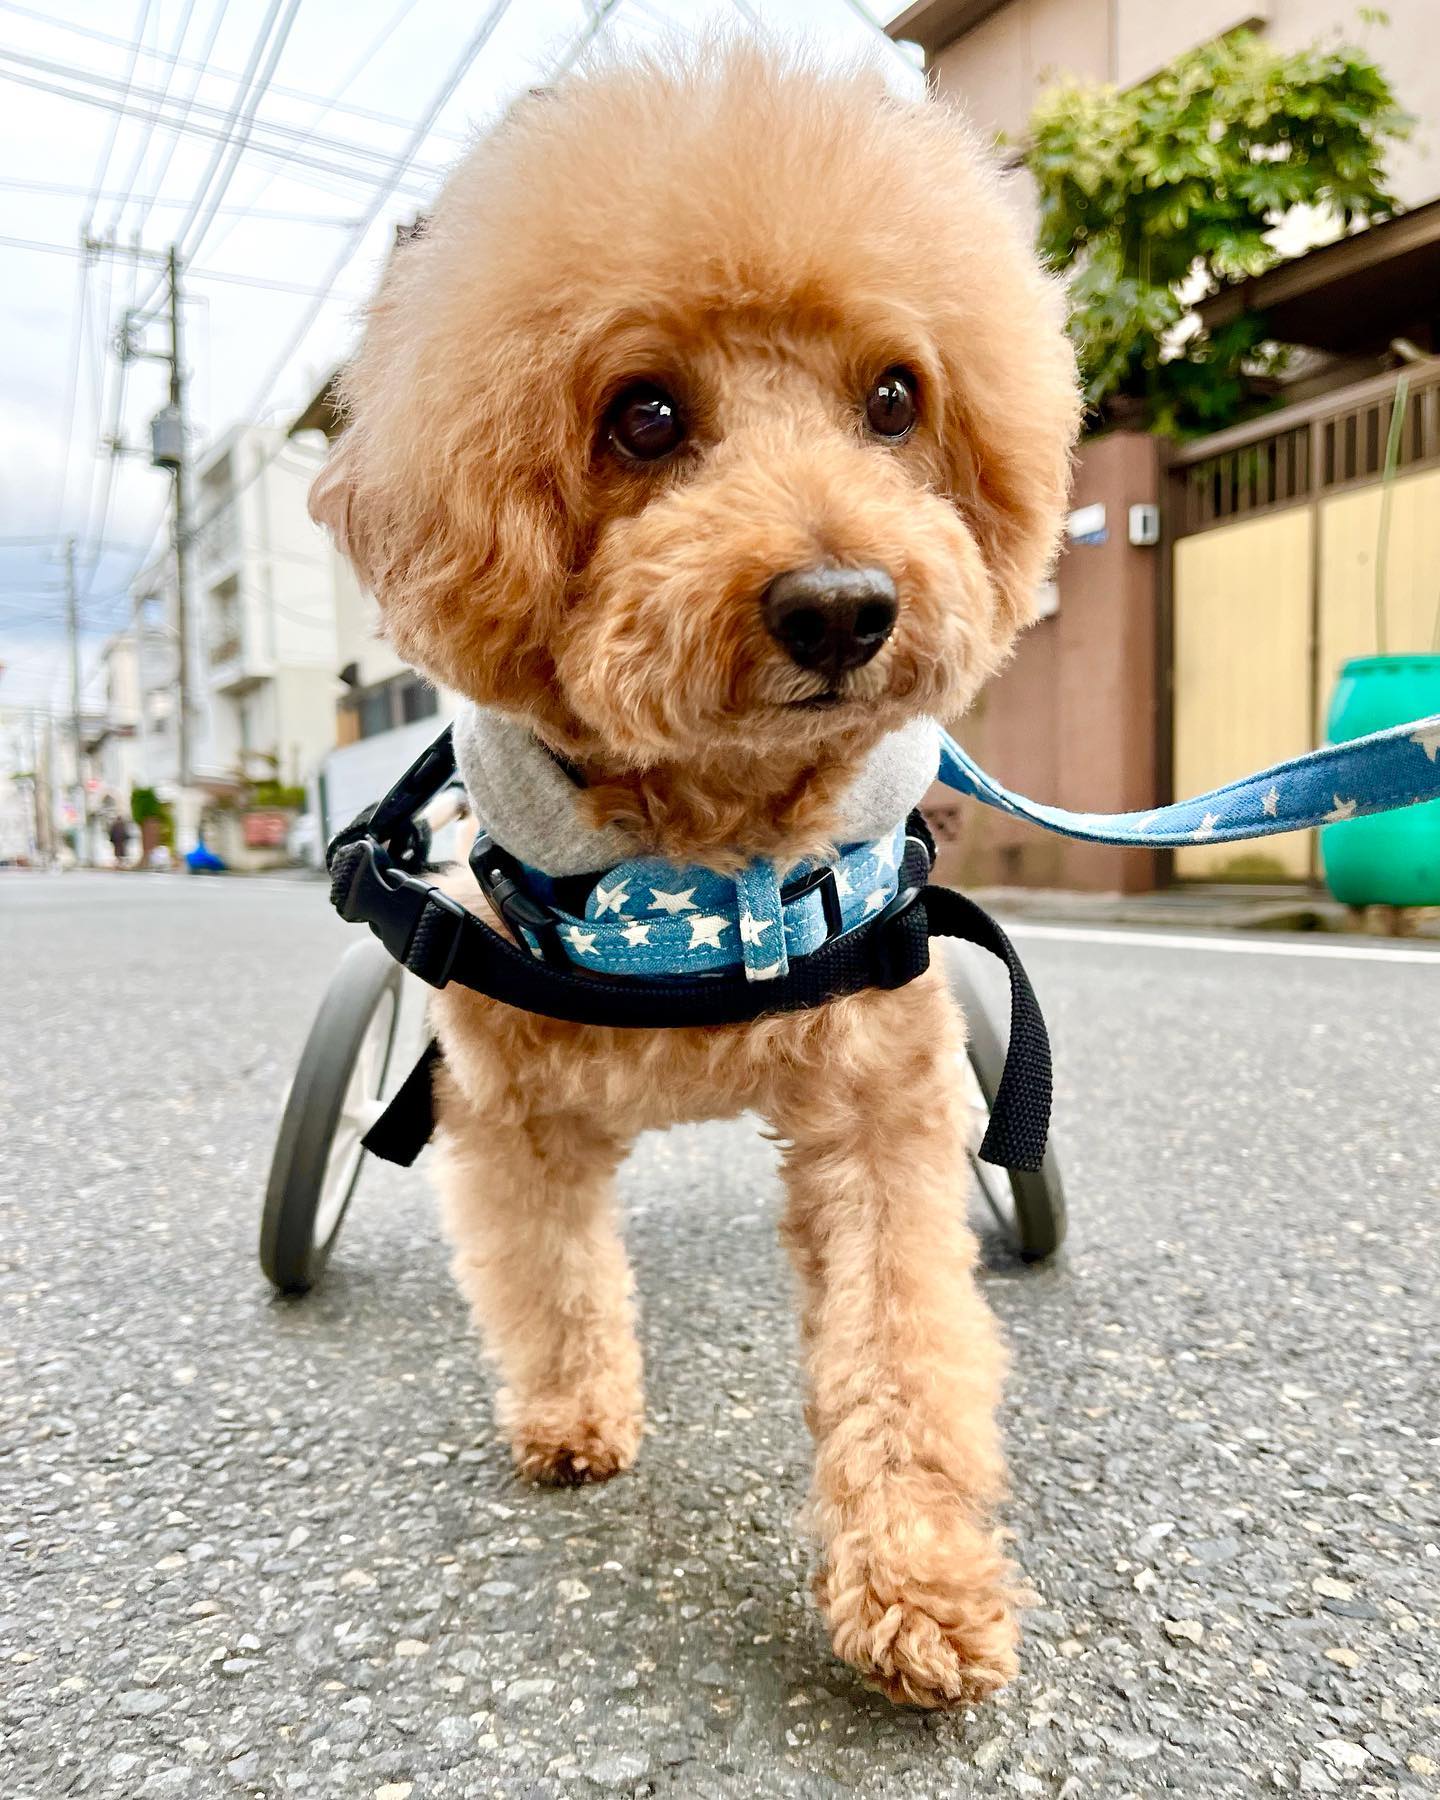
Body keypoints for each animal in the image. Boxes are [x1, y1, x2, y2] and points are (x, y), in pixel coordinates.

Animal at [310, 44, 1079, 1708]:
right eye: (645, 414)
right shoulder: (512, 1110)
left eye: (895, 398)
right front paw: (570, 1420)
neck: (702, 872)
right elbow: (547, 1275)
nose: (844, 606)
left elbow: (903, 1343)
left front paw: (920, 1590)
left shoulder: (877, 1101)